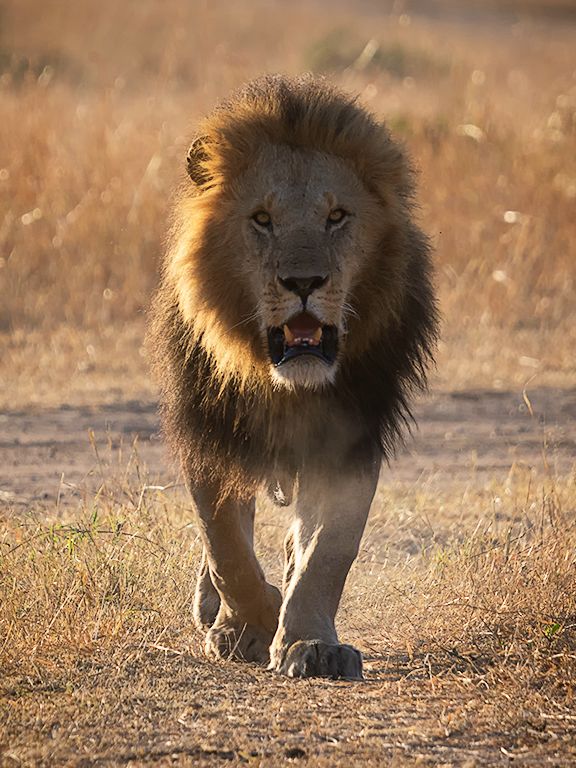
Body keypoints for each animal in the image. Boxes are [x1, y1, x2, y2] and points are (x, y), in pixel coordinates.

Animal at [148, 74, 438, 679]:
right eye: (262, 219)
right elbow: (225, 546)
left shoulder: (350, 435)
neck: (285, 384)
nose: (304, 281)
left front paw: (310, 642)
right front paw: (248, 625)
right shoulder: (209, 430)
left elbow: (330, 549)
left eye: (337, 217)